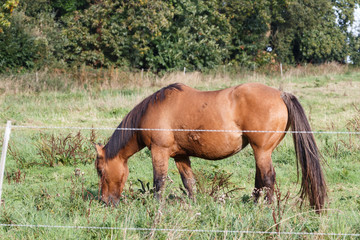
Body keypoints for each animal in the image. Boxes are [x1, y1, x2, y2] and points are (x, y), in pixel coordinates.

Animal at [94, 83, 328, 212]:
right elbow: (189, 183)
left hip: (262, 150)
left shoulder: (159, 151)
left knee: (268, 178)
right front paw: (193, 206)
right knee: (260, 180)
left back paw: (267, 210)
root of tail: (281, 94)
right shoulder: (180, 156)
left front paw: (156, 207)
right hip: (260, 151)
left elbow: (159, 182)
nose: (104, 202)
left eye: (100, 171)